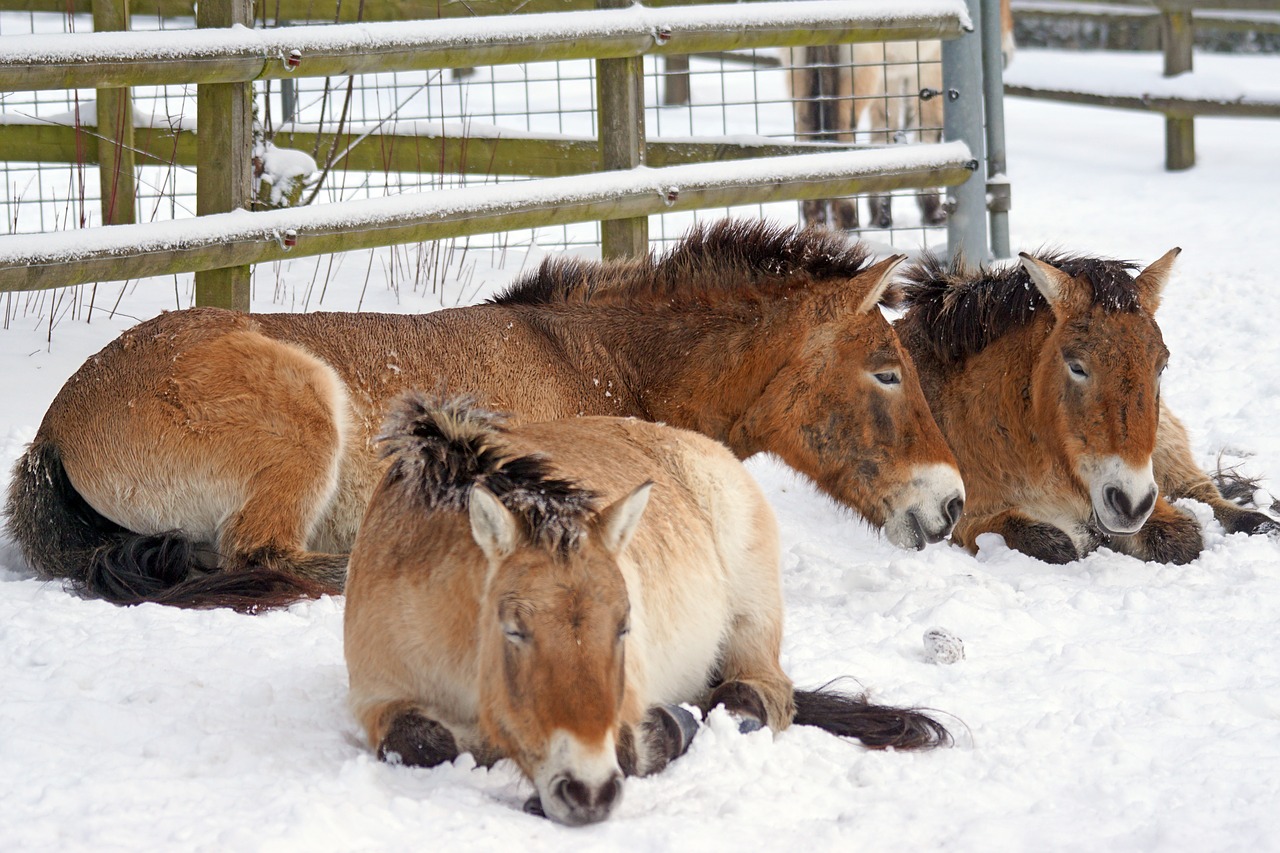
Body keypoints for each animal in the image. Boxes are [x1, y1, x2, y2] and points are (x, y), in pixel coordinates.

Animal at [0, 216, 962, 607]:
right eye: (886, 372)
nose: (951, 502)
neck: (597, 363)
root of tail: (56, 426)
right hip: (305, 414)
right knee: (271, 561)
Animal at [343, 391, 952, 824]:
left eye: (624, 626)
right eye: (513, 630)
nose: (586, 791)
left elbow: (634, 747)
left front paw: (667, 730)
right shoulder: (377, 699)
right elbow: (420, 741)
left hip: (751, 615)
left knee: (757, 693)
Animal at [783, 0, 1013, 229]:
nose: (1006, 55)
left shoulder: (889, 80)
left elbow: (883, 135)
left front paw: (881, 214)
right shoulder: (928, 69)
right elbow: (928, 134)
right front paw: (934, 211)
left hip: (801, 75)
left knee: (805, 130)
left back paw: (816, 223)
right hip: (860, 77)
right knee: (840, 134)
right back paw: (849, 222)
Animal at [896, 247, 1274, 563]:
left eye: (1162, 365)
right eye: (1077, 367)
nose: (1130, 503)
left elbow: (1182, 536)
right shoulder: (964, 518)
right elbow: (1053, 542)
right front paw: (1083, 535)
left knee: (1204, 492)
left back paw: (1264, 523)